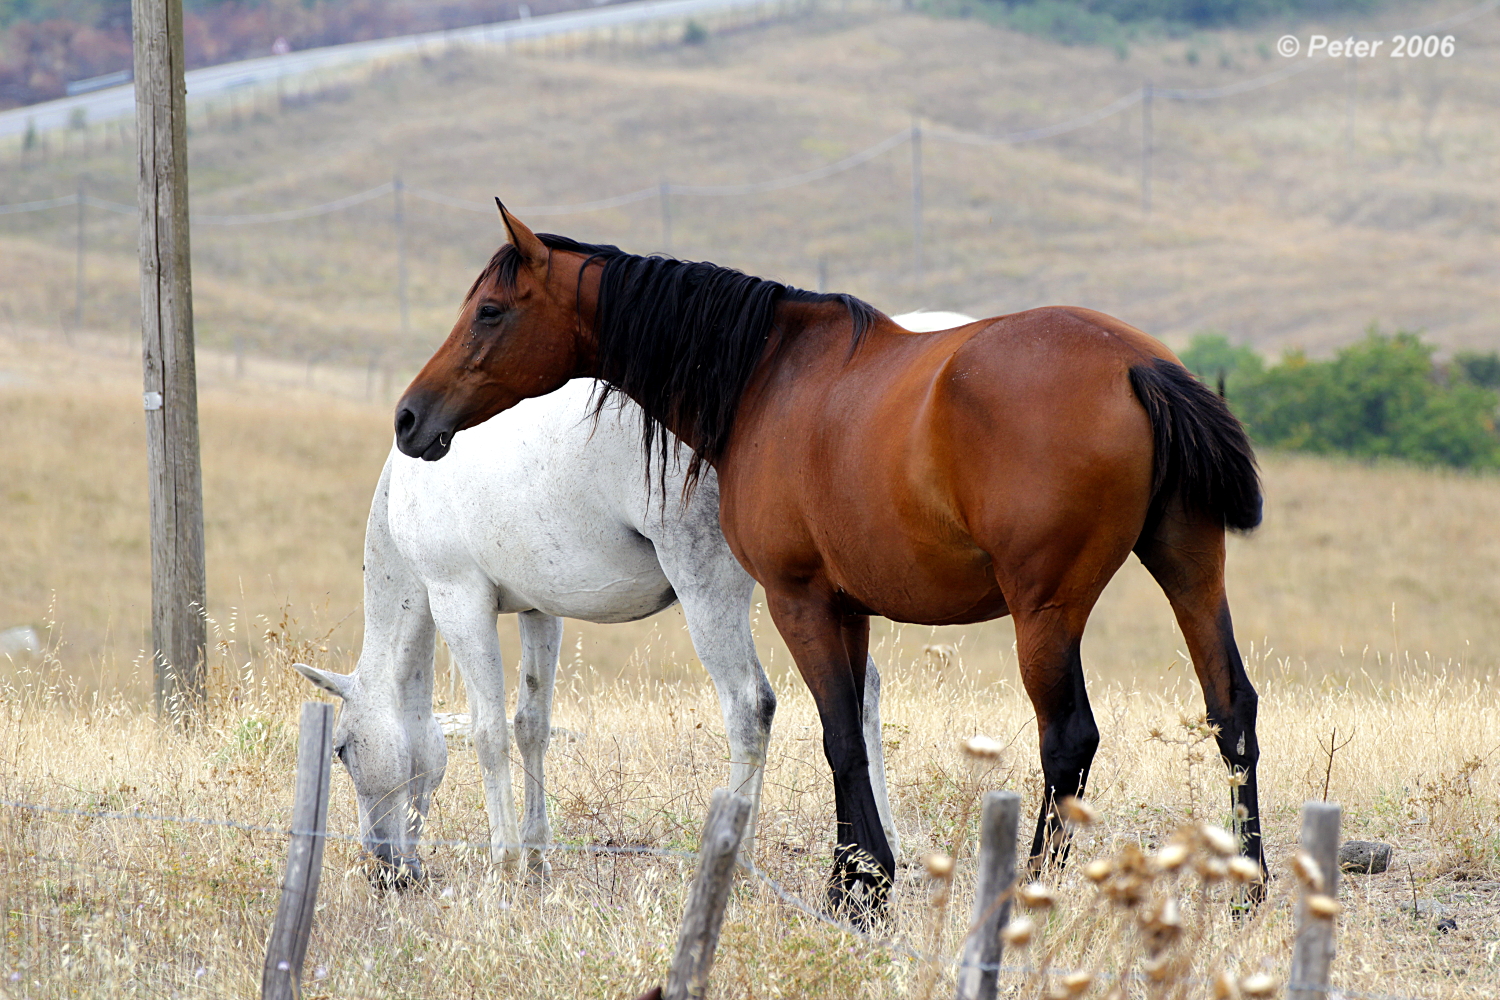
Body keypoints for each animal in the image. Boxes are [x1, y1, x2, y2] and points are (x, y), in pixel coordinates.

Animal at [294, 379, 901, 884]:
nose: (384, 869)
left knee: (750, 706)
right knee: (861, 691)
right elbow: (530, 725)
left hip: (713, 587)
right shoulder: (539, 611)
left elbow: (489, 733)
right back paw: (882, 848)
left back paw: (741, 863)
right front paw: (536, 857)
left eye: (341, 750)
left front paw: (503, 867)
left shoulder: (458, 600)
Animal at [392, 207, 1264, 913]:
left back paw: (1029, 894)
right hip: (1191, 570)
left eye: (491, 311)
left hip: (1045, 613)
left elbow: (837, 736)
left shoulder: (798, 599)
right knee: (1231, 710)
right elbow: (853, 732)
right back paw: (1245, 894)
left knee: (1068, 741)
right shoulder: (849, 607)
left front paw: (857, 890)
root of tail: (1134, 363)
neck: (767, 376)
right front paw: (863, 881)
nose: (409, 417)